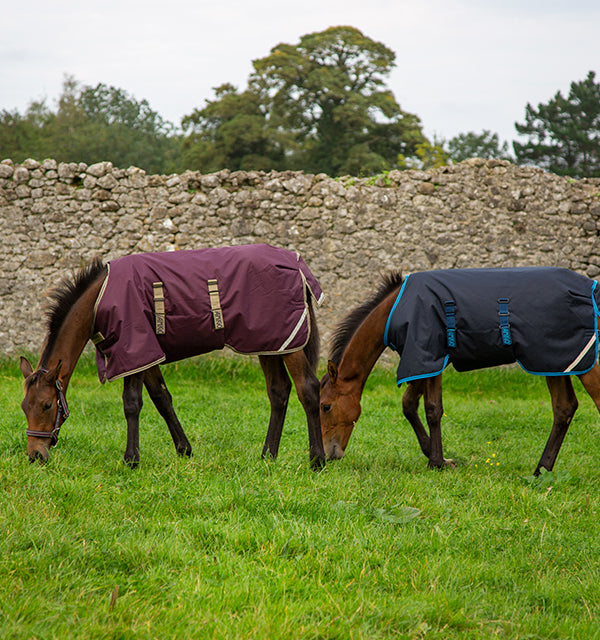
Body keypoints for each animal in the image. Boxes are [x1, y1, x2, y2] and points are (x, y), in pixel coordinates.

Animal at [20, 244, 326, 468]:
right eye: (24, 406)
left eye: (47, 405)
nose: (35, 455)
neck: (100, 298)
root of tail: (296, 263)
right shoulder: (146, 355)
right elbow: (162, 398)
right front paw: (184, 449)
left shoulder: (134, 349)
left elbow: (132, 403)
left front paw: (131, 459)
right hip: (271, 344)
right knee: (279, 391)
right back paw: (267, 456)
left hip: (290, 344)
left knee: (308, 389)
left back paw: (317, 460)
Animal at [320, 267, 600, 475]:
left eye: (325, 406)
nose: (328, 456)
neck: (395, 309)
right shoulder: (422, 362)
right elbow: (409, 405)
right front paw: (437, 456)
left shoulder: (428, 356)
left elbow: (432, 409)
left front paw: (437, 462)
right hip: (555, 363)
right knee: (564, 408)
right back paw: (542, 471)